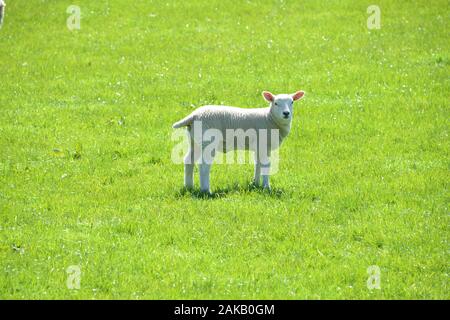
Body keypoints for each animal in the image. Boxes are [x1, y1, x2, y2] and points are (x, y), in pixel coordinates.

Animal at [172, 91, 306, 194]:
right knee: (204, 165)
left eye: (292, 102)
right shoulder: (263, 143)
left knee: (188, 160)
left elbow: (257, 164)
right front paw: (266, 187)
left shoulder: (259, 146)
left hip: (194, 140)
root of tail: (194, 115)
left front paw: (255, 183)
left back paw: (189, 187)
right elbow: (266, 164)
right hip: (208, 140)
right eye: (276, 103)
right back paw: (206, 190)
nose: (286, 113)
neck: (269, 118)